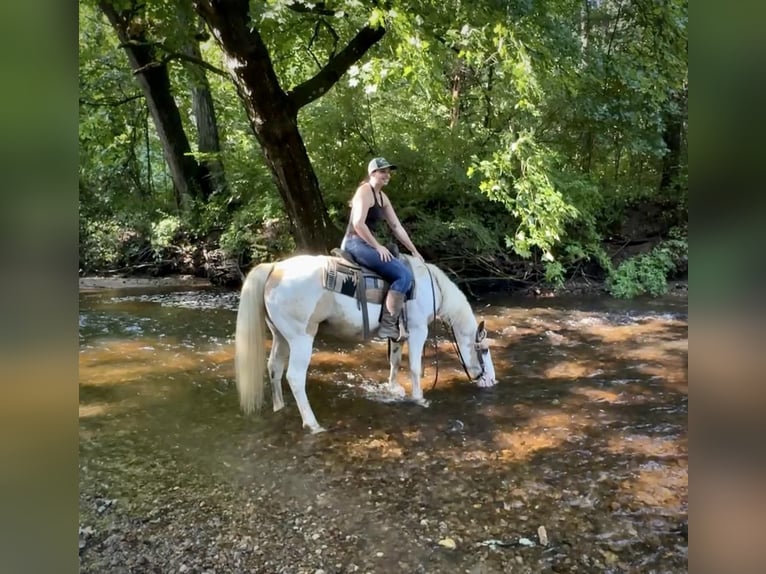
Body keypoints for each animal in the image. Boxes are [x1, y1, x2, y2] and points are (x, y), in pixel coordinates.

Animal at [234, 254, 498, 434]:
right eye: (484, 350)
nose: (492, 381)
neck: (431, 287)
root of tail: (274, 268)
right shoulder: (417, 330)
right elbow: (414, 367)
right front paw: (420, 398)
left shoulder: (397, 335)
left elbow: (394, 362)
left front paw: (394, 389)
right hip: (301, 338)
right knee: (295, 377)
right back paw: (313, 424)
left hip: (280, 336)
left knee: (274, 368)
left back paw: (279, 407)